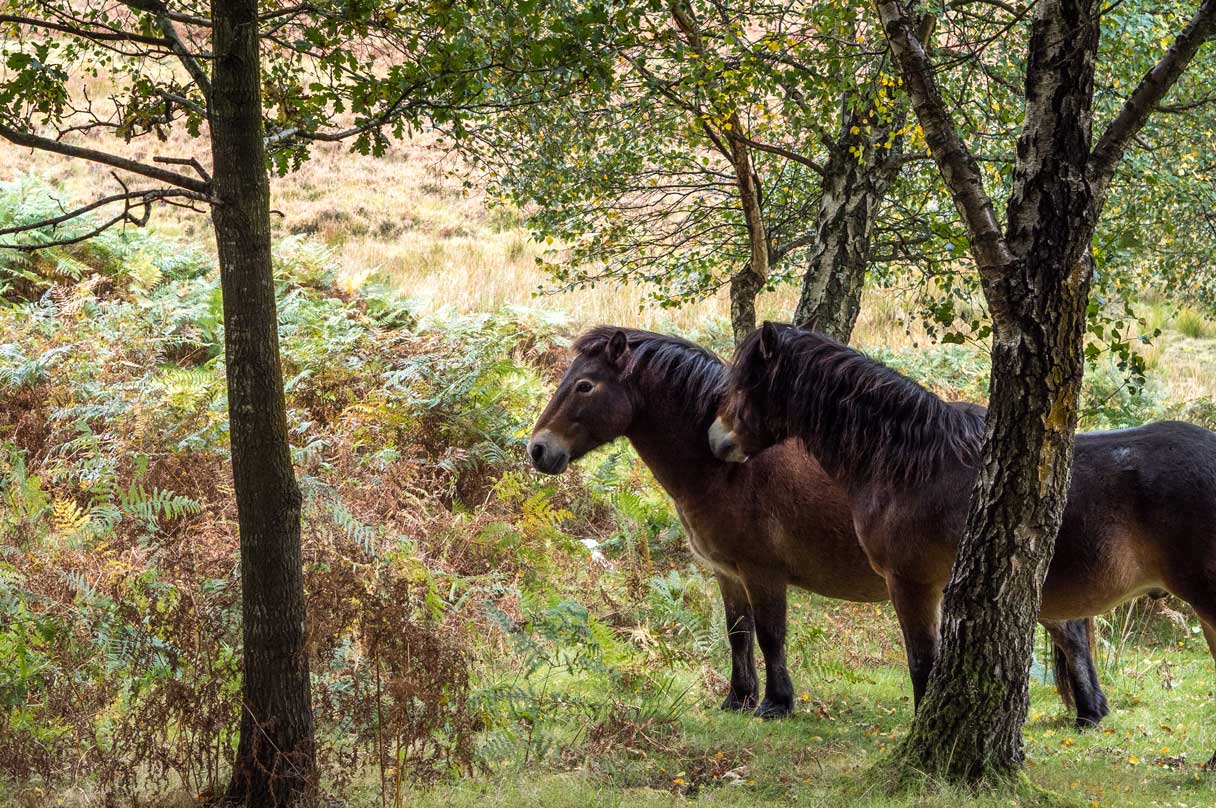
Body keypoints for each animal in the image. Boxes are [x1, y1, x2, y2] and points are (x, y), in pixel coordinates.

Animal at [529, 326, 1108, 724]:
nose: (538, 449)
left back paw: (1087, 713)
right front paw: (737, 699)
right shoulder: (727, 574)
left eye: (583, 386)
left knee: (1070, 635)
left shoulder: (761, 573)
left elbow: (770, 635)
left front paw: (775, 704)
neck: (727, 468)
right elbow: (738, 635)